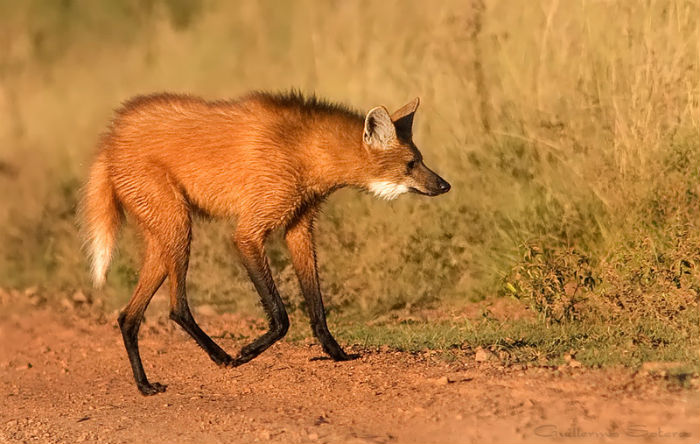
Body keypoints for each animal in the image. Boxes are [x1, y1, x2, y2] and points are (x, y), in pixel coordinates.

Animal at [80, 91, 448, 396]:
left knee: (128, 317)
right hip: (178, 227)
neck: (306, 151)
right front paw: (248, 351)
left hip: (164, 237)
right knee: (176, 307)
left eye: (420, 160)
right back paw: (222, 357)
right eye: (411, 164)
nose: (445, 185)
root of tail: (111, 134)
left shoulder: (299, 228)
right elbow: (281, 315)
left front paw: (336, 353)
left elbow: (316, 306)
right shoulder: (249, 233)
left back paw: (144, 385)